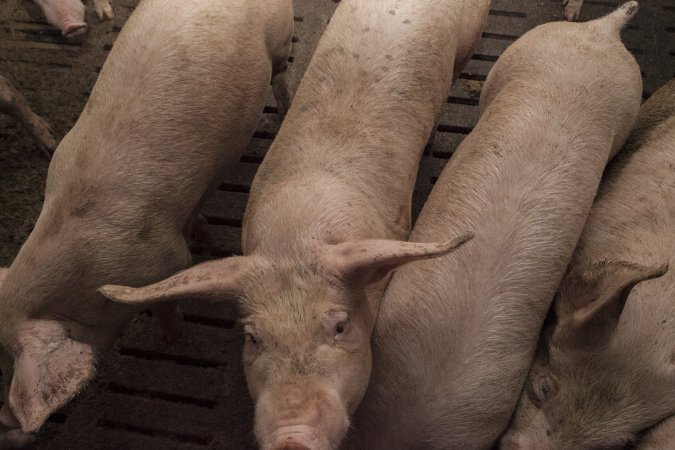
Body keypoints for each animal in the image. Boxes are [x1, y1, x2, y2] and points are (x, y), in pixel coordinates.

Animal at [0, 0, 294, 440]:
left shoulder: (165, 259)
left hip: (279, 37)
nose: (5, 419)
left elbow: (166, 299)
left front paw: (173, 339)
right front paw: (202, 232)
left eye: (8, 358)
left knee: (281, 73)